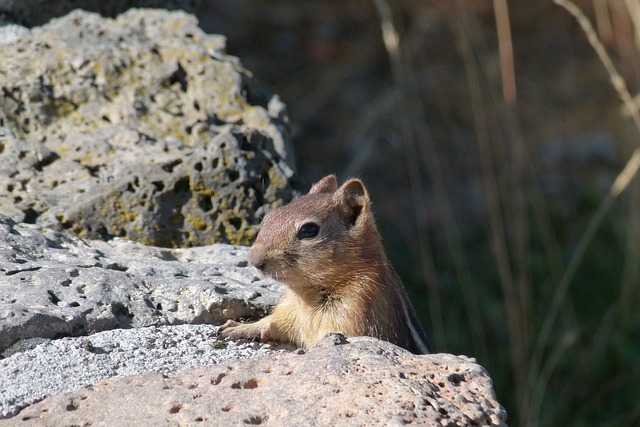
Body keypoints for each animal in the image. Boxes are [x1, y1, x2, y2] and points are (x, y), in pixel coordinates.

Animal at [218, 174, 432, 354]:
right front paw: (239, 327)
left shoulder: (355, 312)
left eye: (308, 230)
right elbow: (272, 323)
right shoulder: (288, 311)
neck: (307, 294)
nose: (254, 260)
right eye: (270, 217)